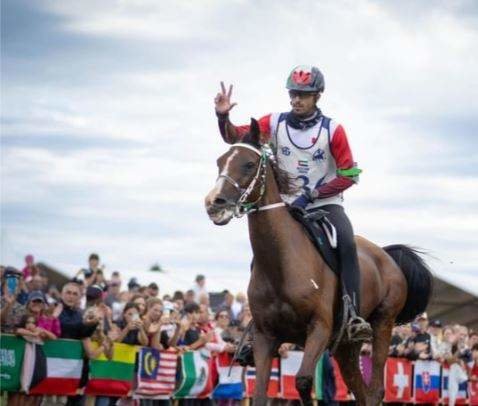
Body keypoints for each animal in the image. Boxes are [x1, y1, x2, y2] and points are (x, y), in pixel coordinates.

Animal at [204, 119, 432, 406]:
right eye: (220, 161)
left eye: (248, 164)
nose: (214, 203)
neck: (281, 266)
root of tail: (387, 255)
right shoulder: (265, 337)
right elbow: (260, 393)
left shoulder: (319, 329)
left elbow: (302, 381)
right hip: (346, 347)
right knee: (361, 389)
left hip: (383, 324)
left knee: (376, 390)